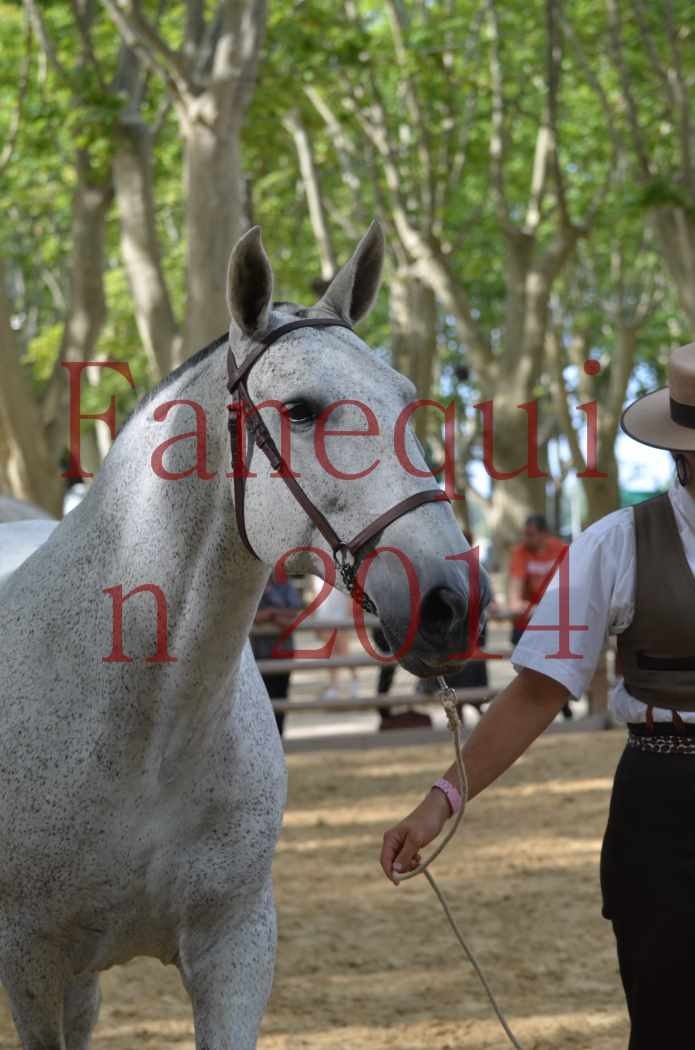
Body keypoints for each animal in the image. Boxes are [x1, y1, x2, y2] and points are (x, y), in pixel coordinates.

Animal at [0, 223, 478, 1050]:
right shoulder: (31, 960)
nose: (450, 603)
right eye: (301, 409)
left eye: (403, 397)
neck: (147, 735)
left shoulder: (236, 947)